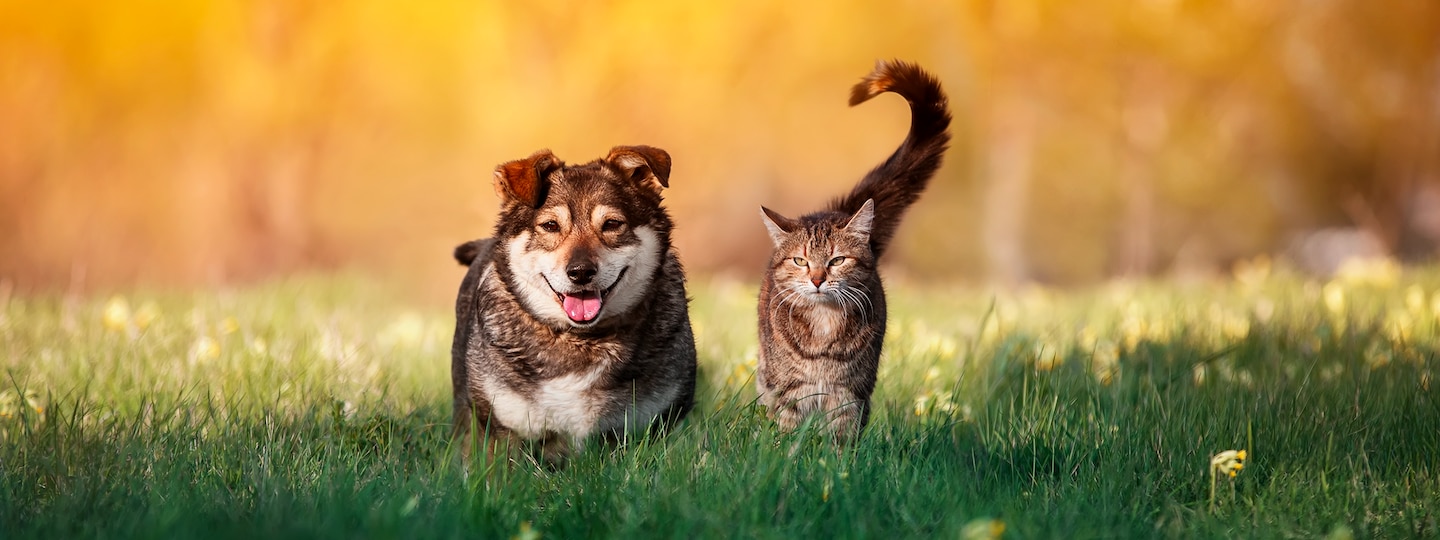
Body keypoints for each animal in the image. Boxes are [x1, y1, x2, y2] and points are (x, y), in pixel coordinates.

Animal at [449, 144, 696, 469]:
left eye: (612, 224)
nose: (580, 272)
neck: (581, 340)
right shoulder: (499, 430)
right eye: (550, 226)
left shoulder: (658, 422)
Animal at [760, 59, 950, 440]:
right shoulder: (789, 390)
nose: (817, 279)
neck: (822, 327)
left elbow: (841, 441)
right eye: (800, 260)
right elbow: (787, 434)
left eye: (837, 260)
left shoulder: (850, 393)